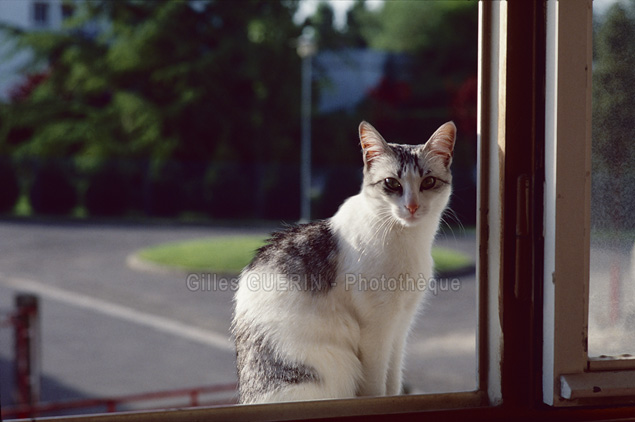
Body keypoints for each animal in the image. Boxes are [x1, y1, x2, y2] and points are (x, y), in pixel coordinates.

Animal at [231, 120, 454, 404]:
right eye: (391, 183)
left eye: (429, 182)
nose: (412, 207)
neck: (407, 240)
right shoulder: (376, 330)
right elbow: (375, 387)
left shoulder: (400, 326)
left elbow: (392, 381)